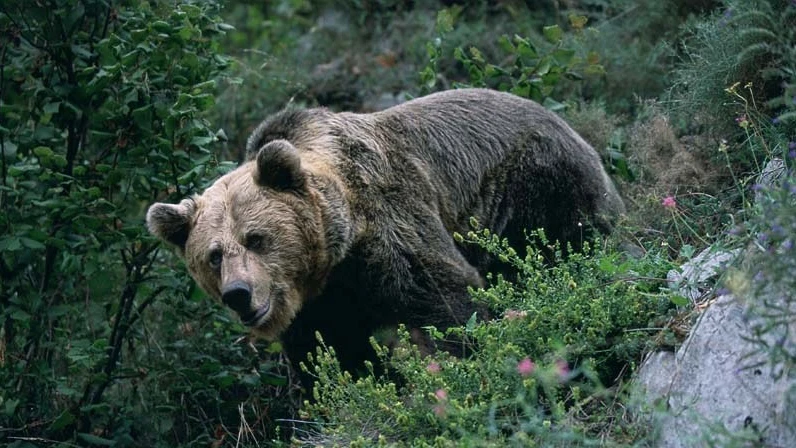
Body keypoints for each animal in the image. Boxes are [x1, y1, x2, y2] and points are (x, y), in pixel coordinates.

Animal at [146, 87, 624, 378]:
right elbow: (331, 355)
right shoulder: (323, 303)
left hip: (537, 186)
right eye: (213, 255)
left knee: (570, 240)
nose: (239, 294)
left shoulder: (390, 221)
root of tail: (570, 125)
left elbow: (445, 297)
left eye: (256, 238)